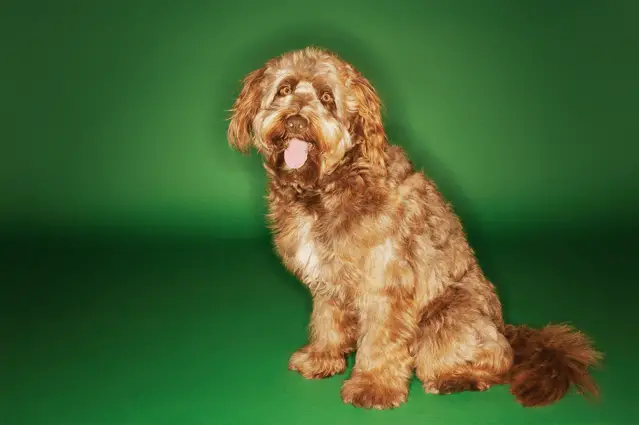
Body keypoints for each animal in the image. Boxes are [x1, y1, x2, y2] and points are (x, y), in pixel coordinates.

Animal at [226, 45, 604, 408]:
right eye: (284, 89)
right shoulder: (328, 280)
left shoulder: (385, 283)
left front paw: (374, 386)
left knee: (496, 361)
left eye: (327, 98)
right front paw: (322, 358)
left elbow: (381, 339)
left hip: (446, 319)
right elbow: (327, 320)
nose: (295, 121)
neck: (328, 187)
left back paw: (456, 378)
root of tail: (505, 328)